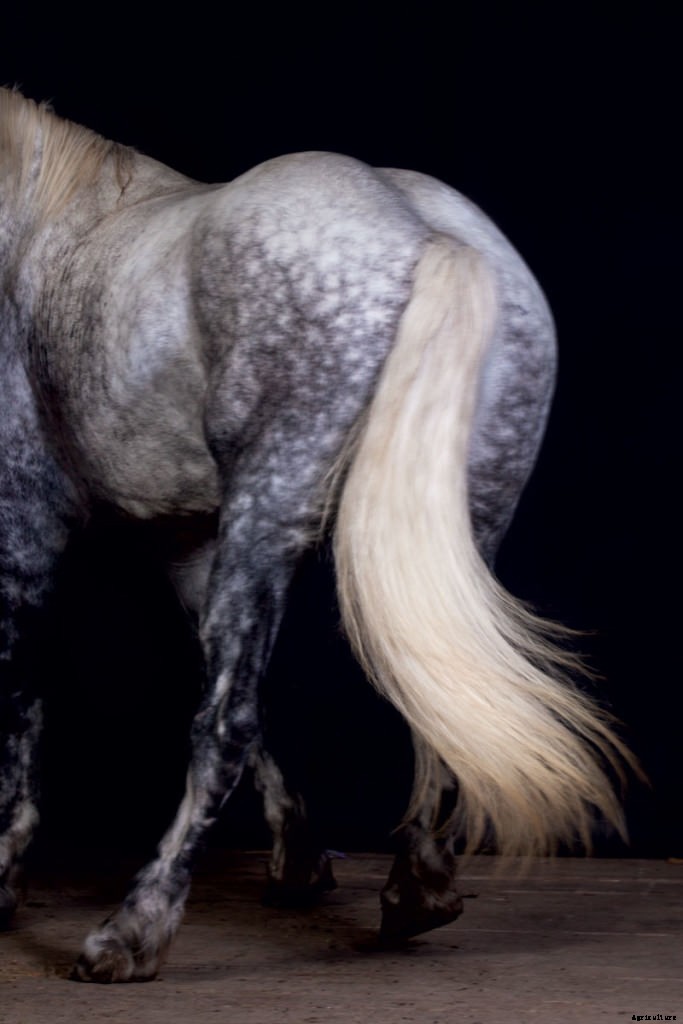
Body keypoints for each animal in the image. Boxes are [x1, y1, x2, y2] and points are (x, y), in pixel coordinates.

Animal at [0, 87, 632, 982]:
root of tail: (426, 233)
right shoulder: (186, 541)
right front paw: (299, 864)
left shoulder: (28, 515)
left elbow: (27, 695)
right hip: (450, 530)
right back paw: (417, 893)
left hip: (267, 513)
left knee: (220, 725)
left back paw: (132, 932)